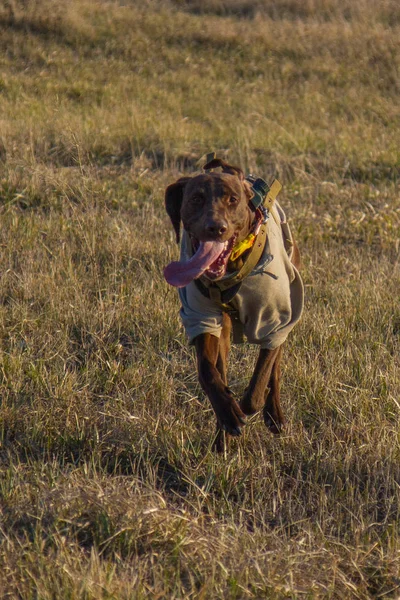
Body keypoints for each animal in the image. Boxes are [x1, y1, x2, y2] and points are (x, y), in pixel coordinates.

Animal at [162, 157, 304, 452]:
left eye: (233, 200)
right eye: (196, 198)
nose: (216, 227)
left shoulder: (276, 321)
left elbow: (260, 380)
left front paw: (247, 409)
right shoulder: (201, 316)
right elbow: (208, 371)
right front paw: (227, 415)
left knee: (275, 367)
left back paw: (274, 415)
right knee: (222, 366)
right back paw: (222, 436)